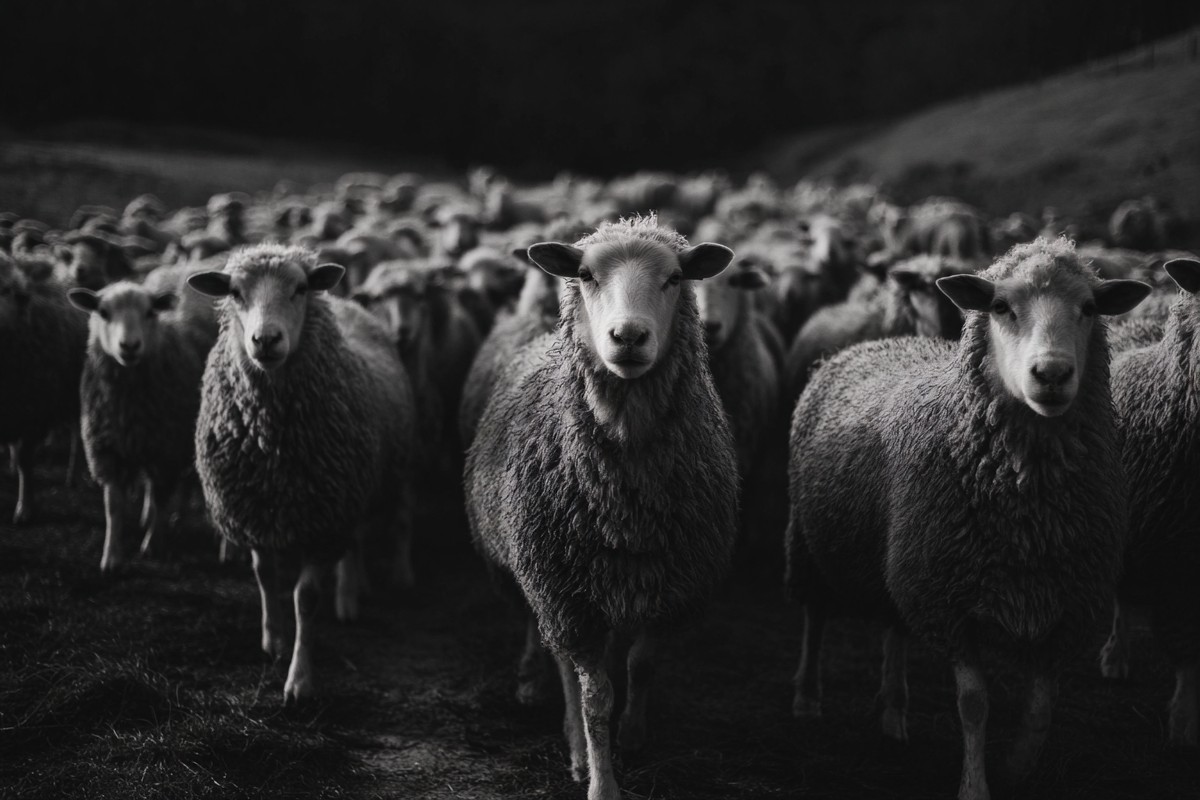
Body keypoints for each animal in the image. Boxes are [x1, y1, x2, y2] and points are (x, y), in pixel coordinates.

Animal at [0, 252, 88, 523]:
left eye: (11, 291)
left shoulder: (36, 412)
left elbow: (25, 460)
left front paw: (25, 509)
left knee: (76, 435)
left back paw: (73, 477)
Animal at [67, 268, 218, 572]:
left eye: (149, 312)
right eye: (103, 312)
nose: (129, 346)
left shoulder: (166, 449)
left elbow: (161, 498)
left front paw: (152, 544)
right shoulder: (108, 451)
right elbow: (114, 507)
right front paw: (111, 557)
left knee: (181, 485)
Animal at [187, 244, 415, 701]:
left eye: (300, 288)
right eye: (235, 292)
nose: (265, 340)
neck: (271, 444)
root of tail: (346, 303)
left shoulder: (326, 520)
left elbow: (305, 597)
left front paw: (299, 680)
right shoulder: (254, 512)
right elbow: (264, 576)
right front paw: (272, 641)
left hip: (380, 478)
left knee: (370, 533)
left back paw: (352, 596)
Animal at [466, 216, 739, 800]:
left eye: (676, 277)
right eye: (586, 275)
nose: (629, 337)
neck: (626, 498)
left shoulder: (670, 584)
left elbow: (641, 665)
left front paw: (632, 735)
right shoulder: (565, 593)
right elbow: (594, 698)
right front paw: (600, 780)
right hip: (543, 579)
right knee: (559, 660)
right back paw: (567, 737)